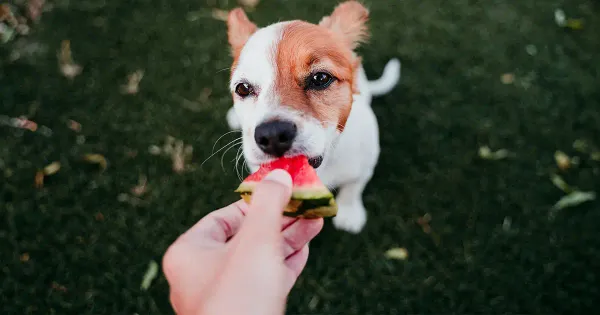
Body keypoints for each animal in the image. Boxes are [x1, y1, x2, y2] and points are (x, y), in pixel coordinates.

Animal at [223, 0, 400, 235]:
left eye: (321, 78)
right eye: (243, 88)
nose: (272, 135)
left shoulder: (365, 164)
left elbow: (353, 188)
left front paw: (350, 213)